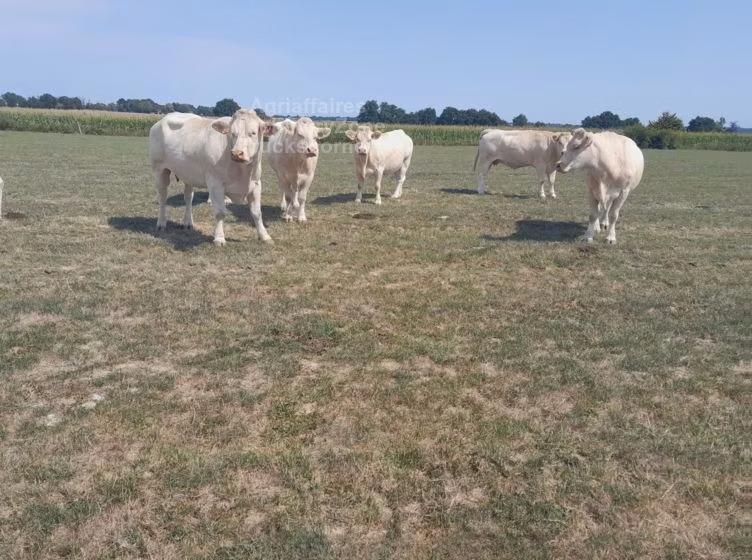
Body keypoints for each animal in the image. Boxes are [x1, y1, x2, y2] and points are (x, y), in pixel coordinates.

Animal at [149, 109, 276, 246]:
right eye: (232, 133)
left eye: (253, 133)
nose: (236, 153)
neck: (243, 172)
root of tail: (162, 119)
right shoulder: (216, 184)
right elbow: (220, 212)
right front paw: (219, 238)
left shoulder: (256, 184)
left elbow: (257, 213)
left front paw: (264, 236)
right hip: (159, 170)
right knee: (162, 198)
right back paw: (161, 223)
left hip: (188, 175)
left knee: (188, 197)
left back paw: (188, 222)